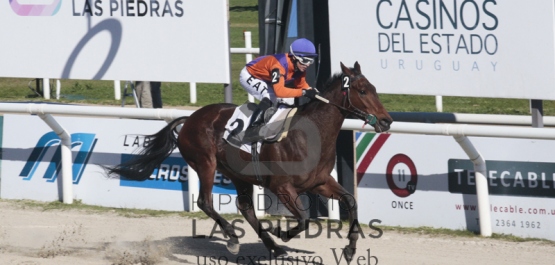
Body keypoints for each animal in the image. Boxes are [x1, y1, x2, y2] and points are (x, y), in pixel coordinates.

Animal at [108, 61, 394, 260]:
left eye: (375, 89)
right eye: (362, 90)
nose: (386, 120)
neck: (310, 135)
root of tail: (189, 119)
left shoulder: (319, 182)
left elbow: (350, 201)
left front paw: (350, 249)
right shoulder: (282, 187)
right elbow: (303, 219)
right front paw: (281, 232)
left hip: (237, 174)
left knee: (245, 207)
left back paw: (273, 247)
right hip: (205, 164)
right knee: (205, 202)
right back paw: (235, 239)